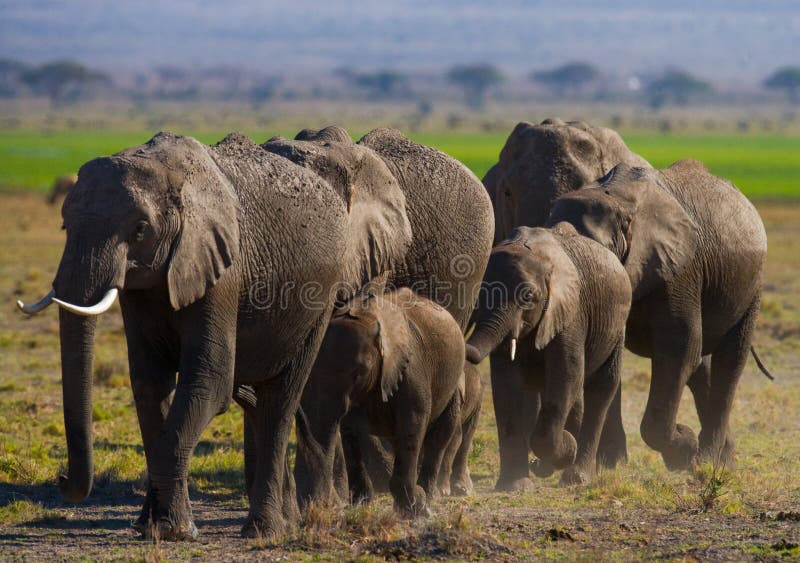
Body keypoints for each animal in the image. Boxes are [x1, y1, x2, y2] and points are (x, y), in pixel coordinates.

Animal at [296, 288, 466, 516]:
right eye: (311, 372)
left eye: (358, 373)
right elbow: (351, 431)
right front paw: (361, 504)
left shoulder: (411, 369)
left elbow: (412, 424)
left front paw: (415, 506)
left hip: (453, 380)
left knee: (440, 435)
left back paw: (429, 498)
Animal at [462, 224, 632, 484]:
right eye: (480, 294)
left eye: (527, 297)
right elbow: (505, 383)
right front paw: (516, 486)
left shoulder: (571, 312)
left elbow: (566, 375)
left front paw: (567, 447)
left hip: (617, 326)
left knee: (601, 388)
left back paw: (576, 476)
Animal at [552, 161, 768, 470]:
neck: (617, 200)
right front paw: (612, 464)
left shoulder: (679, 270)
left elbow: (679, 348)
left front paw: (684, 448)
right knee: (701, 364)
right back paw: (722, 458)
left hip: (752, 283)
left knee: (729, 358)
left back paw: (707, 459)